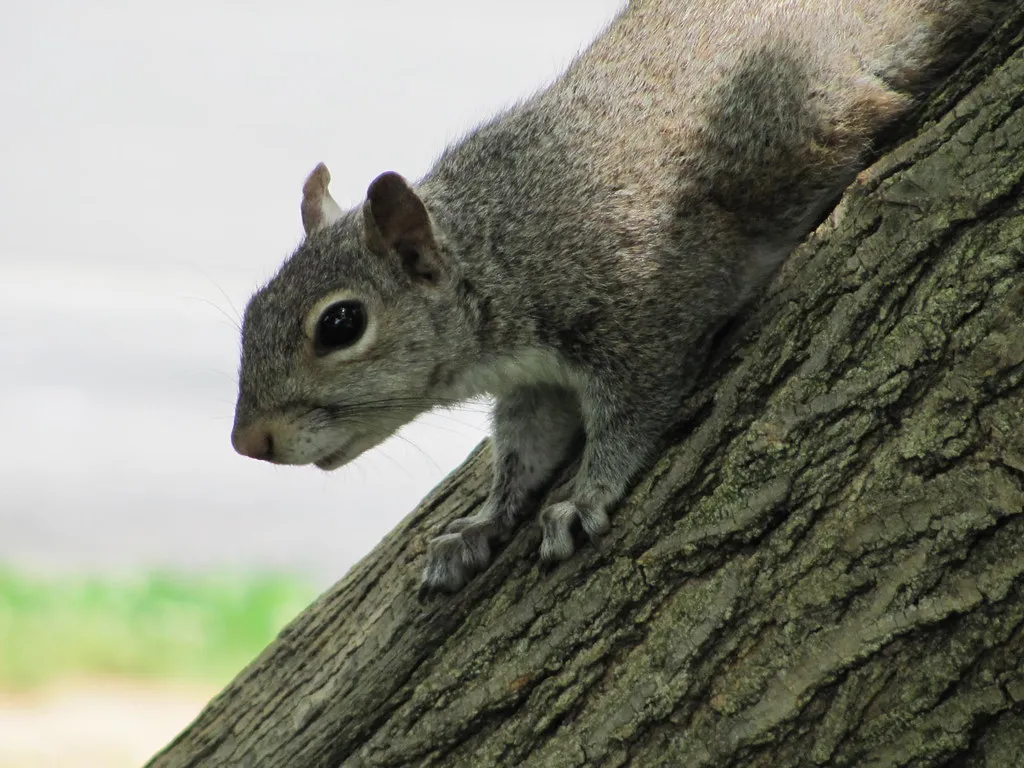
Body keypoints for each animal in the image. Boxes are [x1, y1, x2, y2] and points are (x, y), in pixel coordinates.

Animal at [231, 0, 1005, 596]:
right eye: (249, 312)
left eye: (340, 323)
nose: (248, 443)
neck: (507, 243)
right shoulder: (536, 382)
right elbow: (524, 448)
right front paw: (483, 523)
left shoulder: (649, 311)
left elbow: (633, 414)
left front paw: (583, 498)